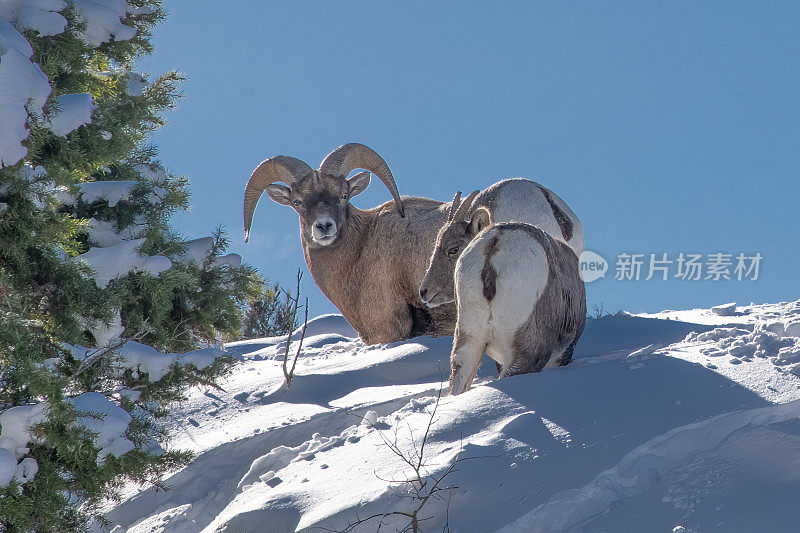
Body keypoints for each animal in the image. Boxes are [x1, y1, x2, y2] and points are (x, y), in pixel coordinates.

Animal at [242, 142, 580, 340]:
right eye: (298, 202)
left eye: (343, 195)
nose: (324, 227)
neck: (360, 249)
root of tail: (545, 202)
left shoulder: (387, 330)